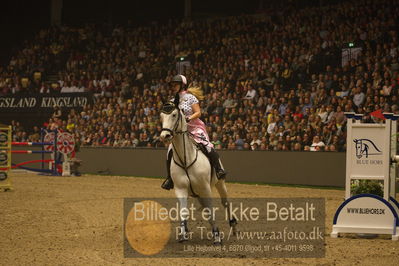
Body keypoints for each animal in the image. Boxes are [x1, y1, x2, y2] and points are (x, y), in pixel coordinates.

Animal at [160, 97, 238, 243]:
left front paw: (217, 236)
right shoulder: (180, 189)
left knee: (225, 202)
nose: (164, 135)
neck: (186, 159)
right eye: (161, 116)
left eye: (174, 115)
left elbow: (211, 211)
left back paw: (234, 226)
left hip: (220, 183)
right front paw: (183, 233)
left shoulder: (205, 189)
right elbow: (183, 211)